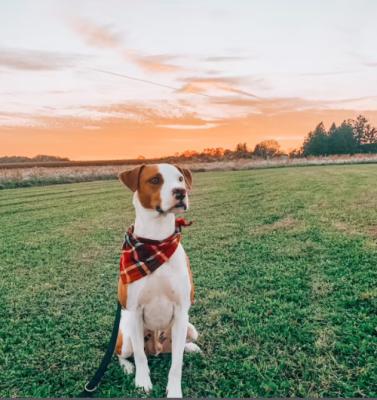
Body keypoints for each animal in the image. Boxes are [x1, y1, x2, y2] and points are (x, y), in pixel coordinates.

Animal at [116, 162, 201, 396]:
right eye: (155, 180)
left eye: (180, 179)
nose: (181, 192)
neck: (157, 242)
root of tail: (157, 348)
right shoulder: (134, 311)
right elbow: (140, 356)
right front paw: (142, 383)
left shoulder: (181, 311)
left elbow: (176, 363)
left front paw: (174, 391)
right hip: (126, 336)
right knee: (123, 354)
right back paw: (128, 367)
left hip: (190, 329)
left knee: (177, 348)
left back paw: (190, 347)